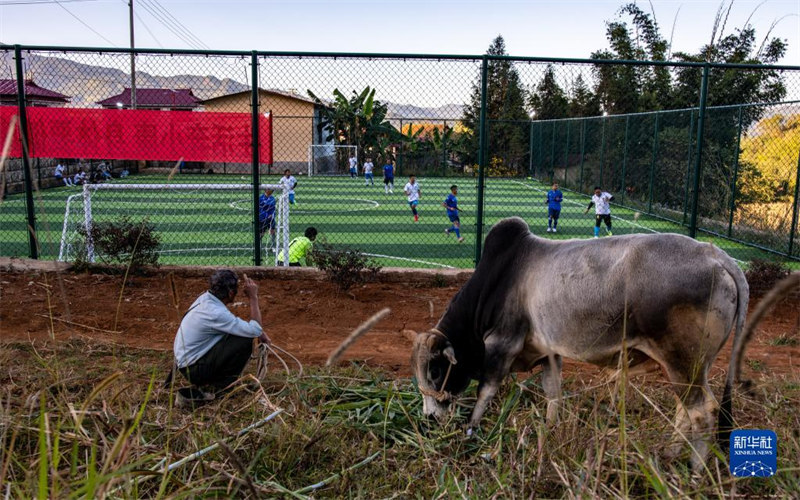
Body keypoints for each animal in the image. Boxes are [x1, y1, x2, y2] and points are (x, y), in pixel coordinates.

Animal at [412, 217, 752, 470]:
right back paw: (668, 454)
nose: (429, 419)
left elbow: (485, 391)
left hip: (682, 362)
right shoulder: (548, 353)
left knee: (703, 412)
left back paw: (695, 472)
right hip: (689, 367)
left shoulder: (501, 344)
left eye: (435, 370)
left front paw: (471, 432)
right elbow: (553, 393)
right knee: (686, 410)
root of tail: (717, 256)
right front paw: (550, 431)